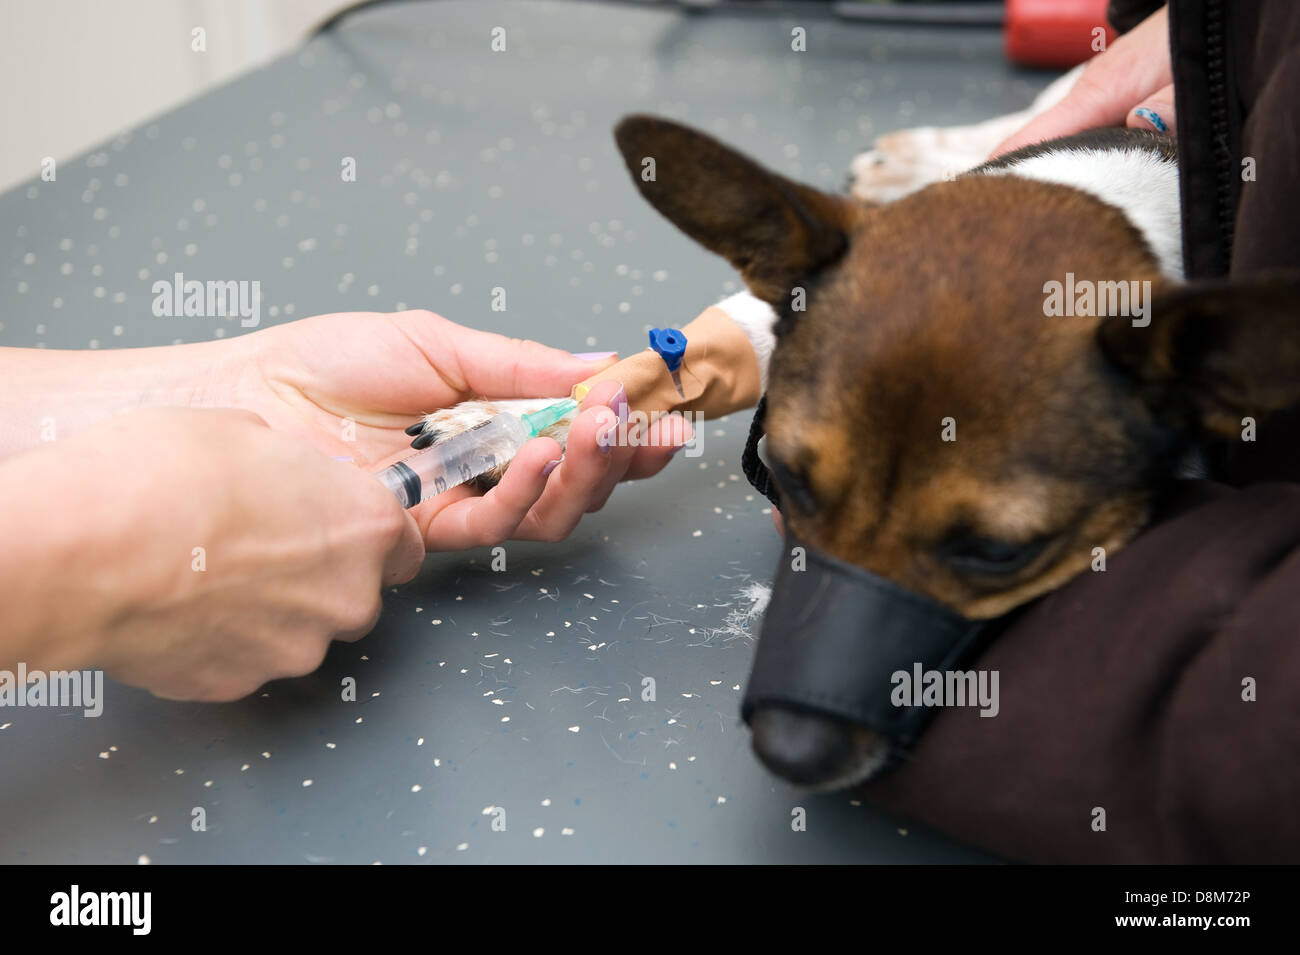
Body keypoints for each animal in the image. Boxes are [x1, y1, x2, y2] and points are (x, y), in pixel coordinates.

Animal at [413, 82, 1300, 789]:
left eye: (1001, 552)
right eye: (788, 475)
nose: (789, 750)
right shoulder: (767, 314)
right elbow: (654, 364)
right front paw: (496, 422)